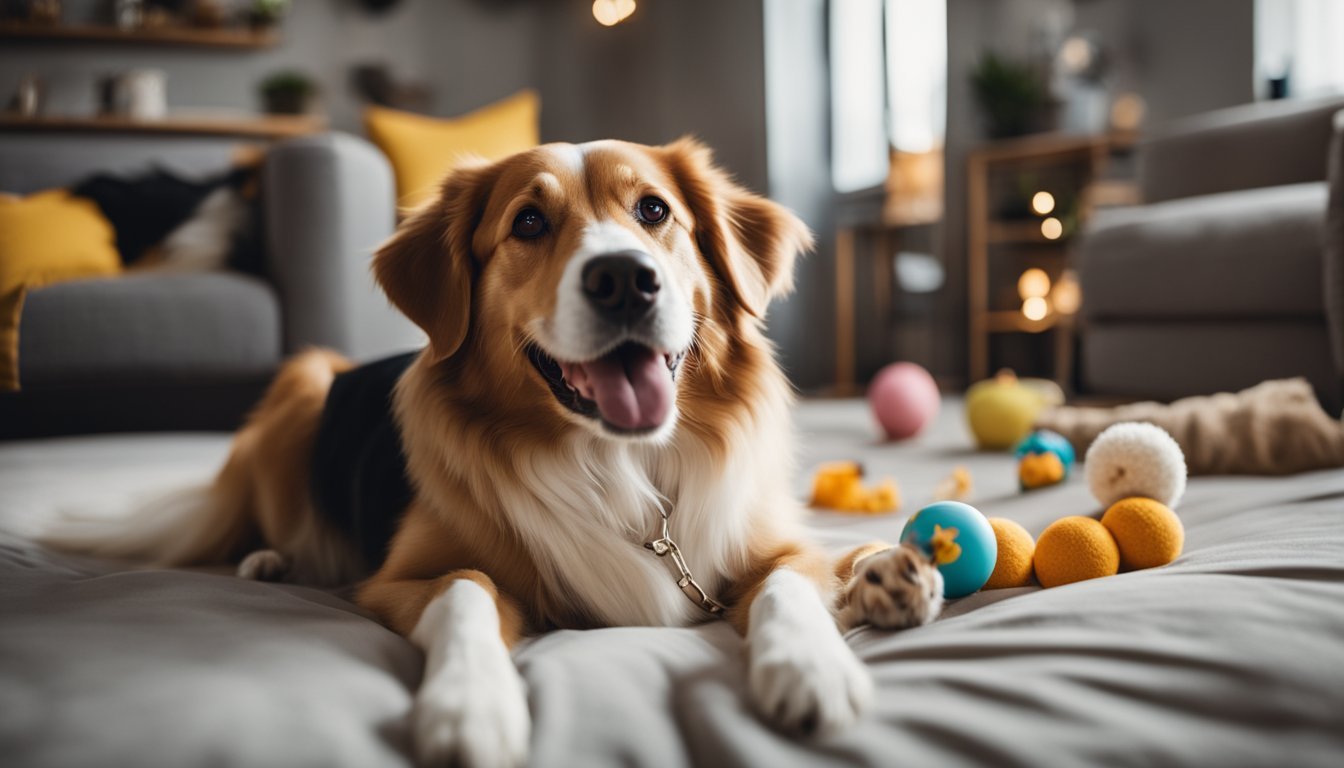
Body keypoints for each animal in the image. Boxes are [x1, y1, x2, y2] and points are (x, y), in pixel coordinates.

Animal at [55, 139, 946, 768]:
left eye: (654, 210)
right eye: (528, 223)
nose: (625, 279)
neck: (619, 467)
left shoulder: (766, 544)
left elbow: (792, 582)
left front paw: (820, 655)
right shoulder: (399, 580)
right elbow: (468, 591)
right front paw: (469, 707)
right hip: (303, 382)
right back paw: (271, 560)